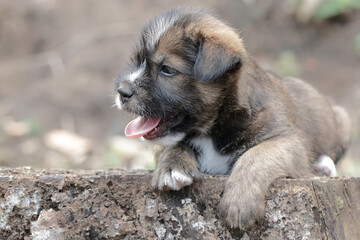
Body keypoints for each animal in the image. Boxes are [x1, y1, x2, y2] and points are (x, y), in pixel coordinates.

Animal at [114, 7, 348, 229]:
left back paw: (323, 167)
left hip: (343, 119)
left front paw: (239, 203)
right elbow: (170, 146)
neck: (210, 130)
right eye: (137, 62)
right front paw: (171, 168)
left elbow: (256, 155)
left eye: (167, 70)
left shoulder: (286, 139)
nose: (121, 92)